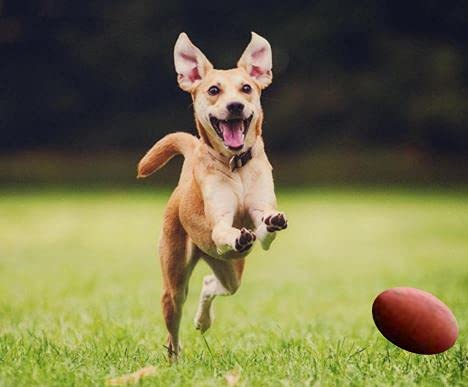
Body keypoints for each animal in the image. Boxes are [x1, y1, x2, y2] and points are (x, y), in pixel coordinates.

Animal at [137, 31, 288, 360]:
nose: (235, 106)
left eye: (246, 88)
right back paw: (175, 359)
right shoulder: (218, 223)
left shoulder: (260, 214)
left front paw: (270, 222)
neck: (236, 166)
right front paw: (236, 235)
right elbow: (223, 229)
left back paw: (203, 321)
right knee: (173, 327)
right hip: (174, 279)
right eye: (214, 90)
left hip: (231, 270)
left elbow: (265, 227)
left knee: (212, 283)